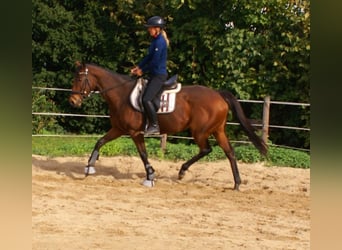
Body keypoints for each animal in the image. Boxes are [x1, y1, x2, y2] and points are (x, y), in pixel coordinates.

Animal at [69, 61, 268, 190]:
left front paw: (150, 177)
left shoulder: (135, 132)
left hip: (200, 131)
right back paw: (236, 183)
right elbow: (100, 142)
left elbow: (142, 154)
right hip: (218, 131)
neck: (121, 94)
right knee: (230, 152)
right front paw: (89, 167)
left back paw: (182, 171)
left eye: (79, 79)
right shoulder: (119, 129)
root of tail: (218, 95)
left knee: (206, 149)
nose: (73, 101)